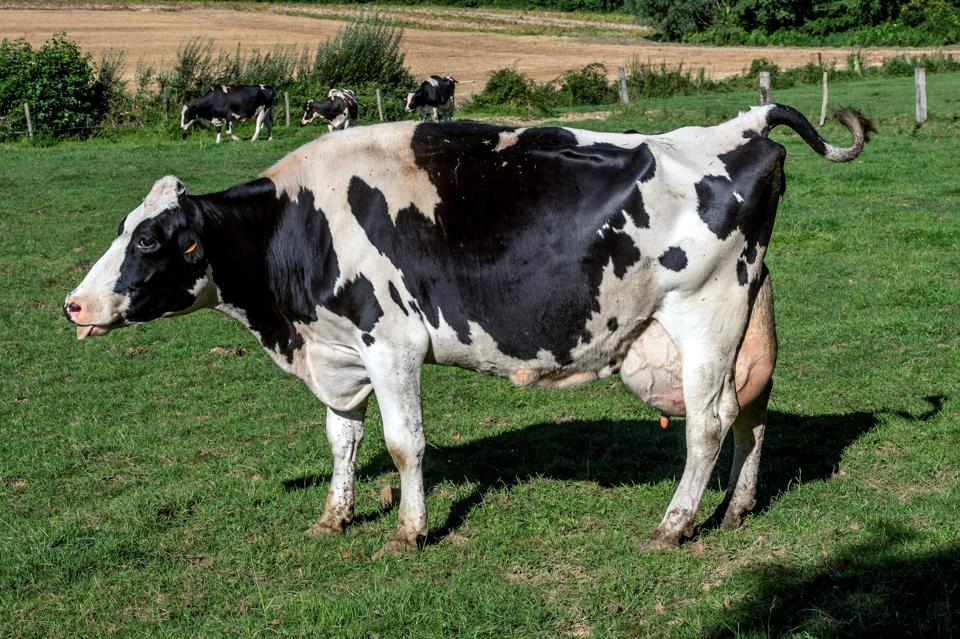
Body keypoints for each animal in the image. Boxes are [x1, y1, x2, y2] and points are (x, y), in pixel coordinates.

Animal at [64, 104, 871, 557]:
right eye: (125, 227)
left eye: (151, 240)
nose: (74, 305)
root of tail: (739, 125)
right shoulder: (339, 352)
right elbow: (341, 439)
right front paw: (334, 516)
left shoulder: (389, 343)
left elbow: (403, 443)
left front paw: (408, 531)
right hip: (746, 315)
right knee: (754, 410)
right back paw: (736, 508)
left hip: (705, 311)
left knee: (709, 421)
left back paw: (675, 525)